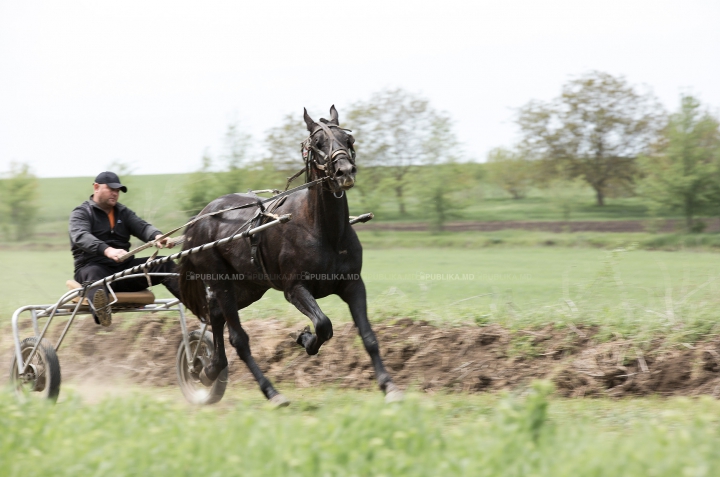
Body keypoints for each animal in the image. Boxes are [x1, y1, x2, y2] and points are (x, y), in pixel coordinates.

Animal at [179, 106, 402, 404]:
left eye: (348, 139)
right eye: (318, 143)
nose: (344, 171)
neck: (324, 232)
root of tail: (199, 218)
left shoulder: (354, 285)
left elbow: (368, 335)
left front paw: (388, 385)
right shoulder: (294, 288)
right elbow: (323, 324)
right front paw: (306, 340)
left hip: (246, 287)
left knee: (215, 314)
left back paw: (210, 368)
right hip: (219, 279)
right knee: (238, 338)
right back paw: (270, 391)